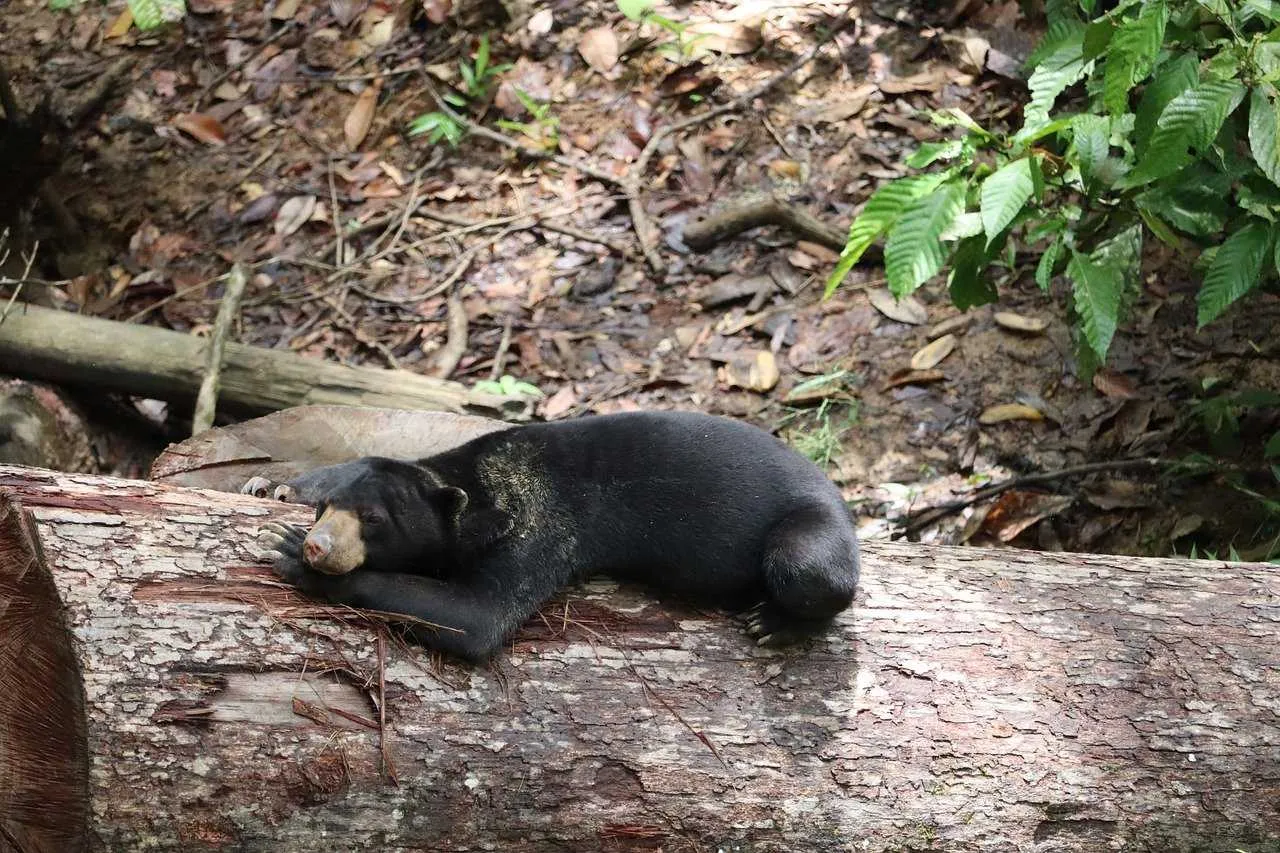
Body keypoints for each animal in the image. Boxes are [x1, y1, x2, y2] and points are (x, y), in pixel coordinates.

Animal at [252, 409, 860, 660]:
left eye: (374, 520)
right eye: (327, 508)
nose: (319, 545)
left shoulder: (544, 525)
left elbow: (478, 615)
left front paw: (293, 557)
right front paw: (273, 487)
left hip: (810, 527)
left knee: (810, 570)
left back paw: (773, 621)